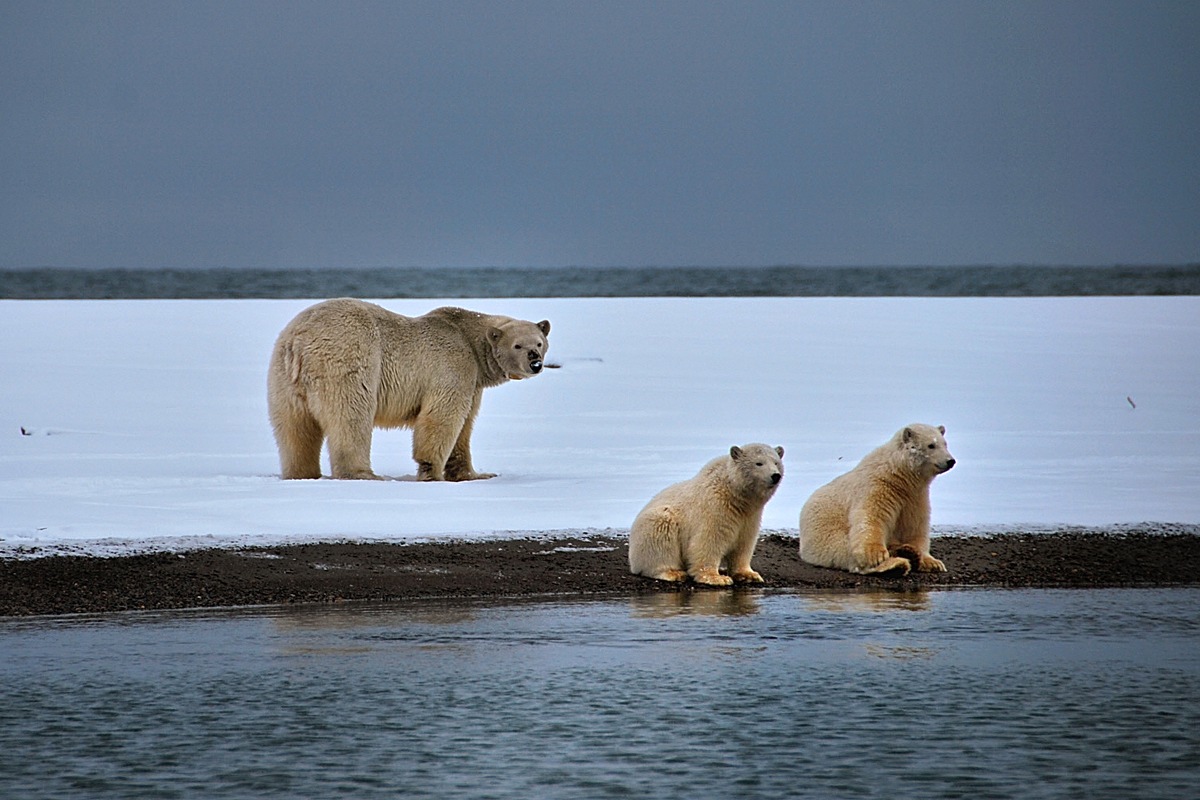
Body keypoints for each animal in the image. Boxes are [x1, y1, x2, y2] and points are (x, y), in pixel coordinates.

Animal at [267, 297, 549, 479]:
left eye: (539, 342)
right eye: (518, 345)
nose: (535, 362)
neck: (468, 338)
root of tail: (299, 340)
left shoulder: (473, 382)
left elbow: (465, 426)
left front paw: (476, 474)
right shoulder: (453, 365)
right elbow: (443, 418)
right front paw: (431, 471)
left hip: (283, 377)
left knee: (294, 429)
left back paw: (301, 473)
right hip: (348, 358)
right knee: (351, 416)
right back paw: (363, 474)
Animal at [628, 443, 787, 587]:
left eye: (776, 462)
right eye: (758, 463)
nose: (775, 476)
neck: (734, 495)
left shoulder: (750, 517)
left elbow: (744, 544)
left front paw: (749, 575)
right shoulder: (715, 508)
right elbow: (708, 541)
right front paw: (716, 578)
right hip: (656, 523)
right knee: (661, 537)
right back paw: (674, 573)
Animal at [796, 424, 955, 575]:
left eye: (945, 444)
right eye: (931, 445)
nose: (950, 461)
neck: (898, 473)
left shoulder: (915, 497)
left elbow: (914, 526)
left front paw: (933, 563)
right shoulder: (878, 486)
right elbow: (871, 518)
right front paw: (876, 555)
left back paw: (907, 552)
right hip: (825, 533)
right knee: (845, 549)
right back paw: (897, 564)